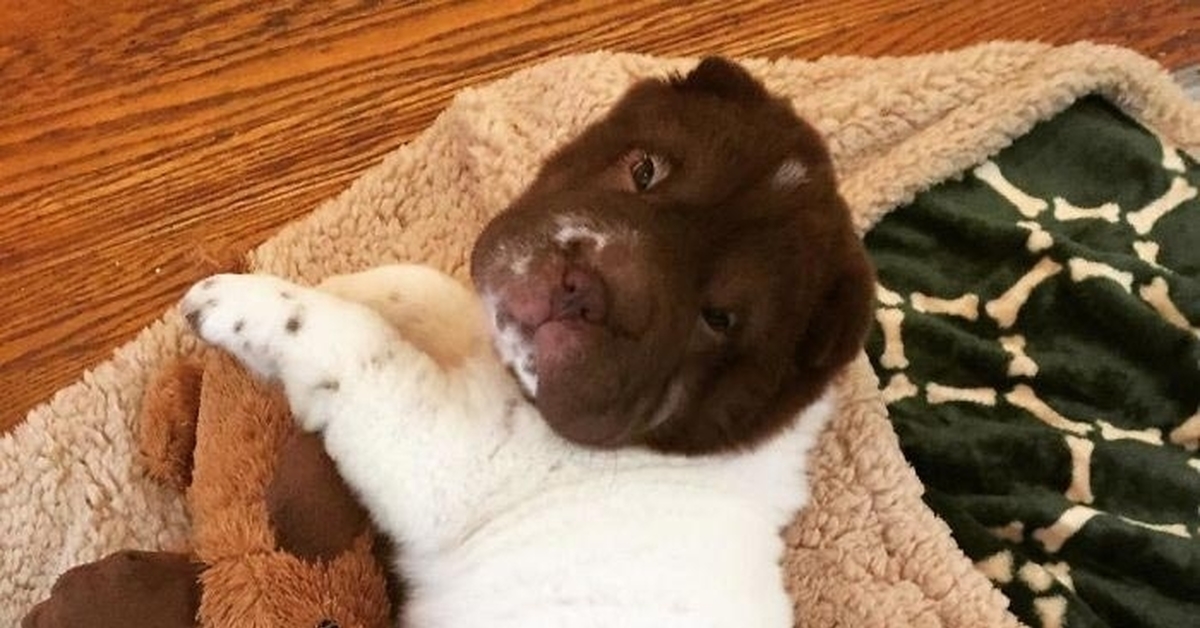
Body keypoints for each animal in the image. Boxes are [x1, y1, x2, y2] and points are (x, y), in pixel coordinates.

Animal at [182, 57, 873, 628]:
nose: (585, 288)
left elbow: (353, 341)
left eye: (719, 318)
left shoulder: (442, 454)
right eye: (643, 170)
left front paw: (235, 302)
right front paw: (349, 281)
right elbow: (423, 288)